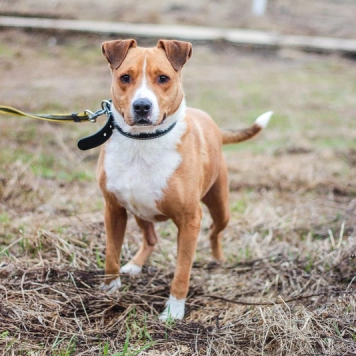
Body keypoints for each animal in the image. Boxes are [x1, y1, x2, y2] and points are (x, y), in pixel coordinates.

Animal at [96, 39, 272, 320]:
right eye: (125, 77)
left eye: (163, 78)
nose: (142, 106)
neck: (143, 141)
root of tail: (214, 125)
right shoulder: (113, 209)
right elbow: (111, 253)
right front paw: (110, 290)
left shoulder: (190, 220)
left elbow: (182, 271)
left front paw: (173, 311)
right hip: (140, 209)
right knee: (151, 238)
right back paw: (135, 265)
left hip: (220, 206)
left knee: (214, 232)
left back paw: (218, 260)